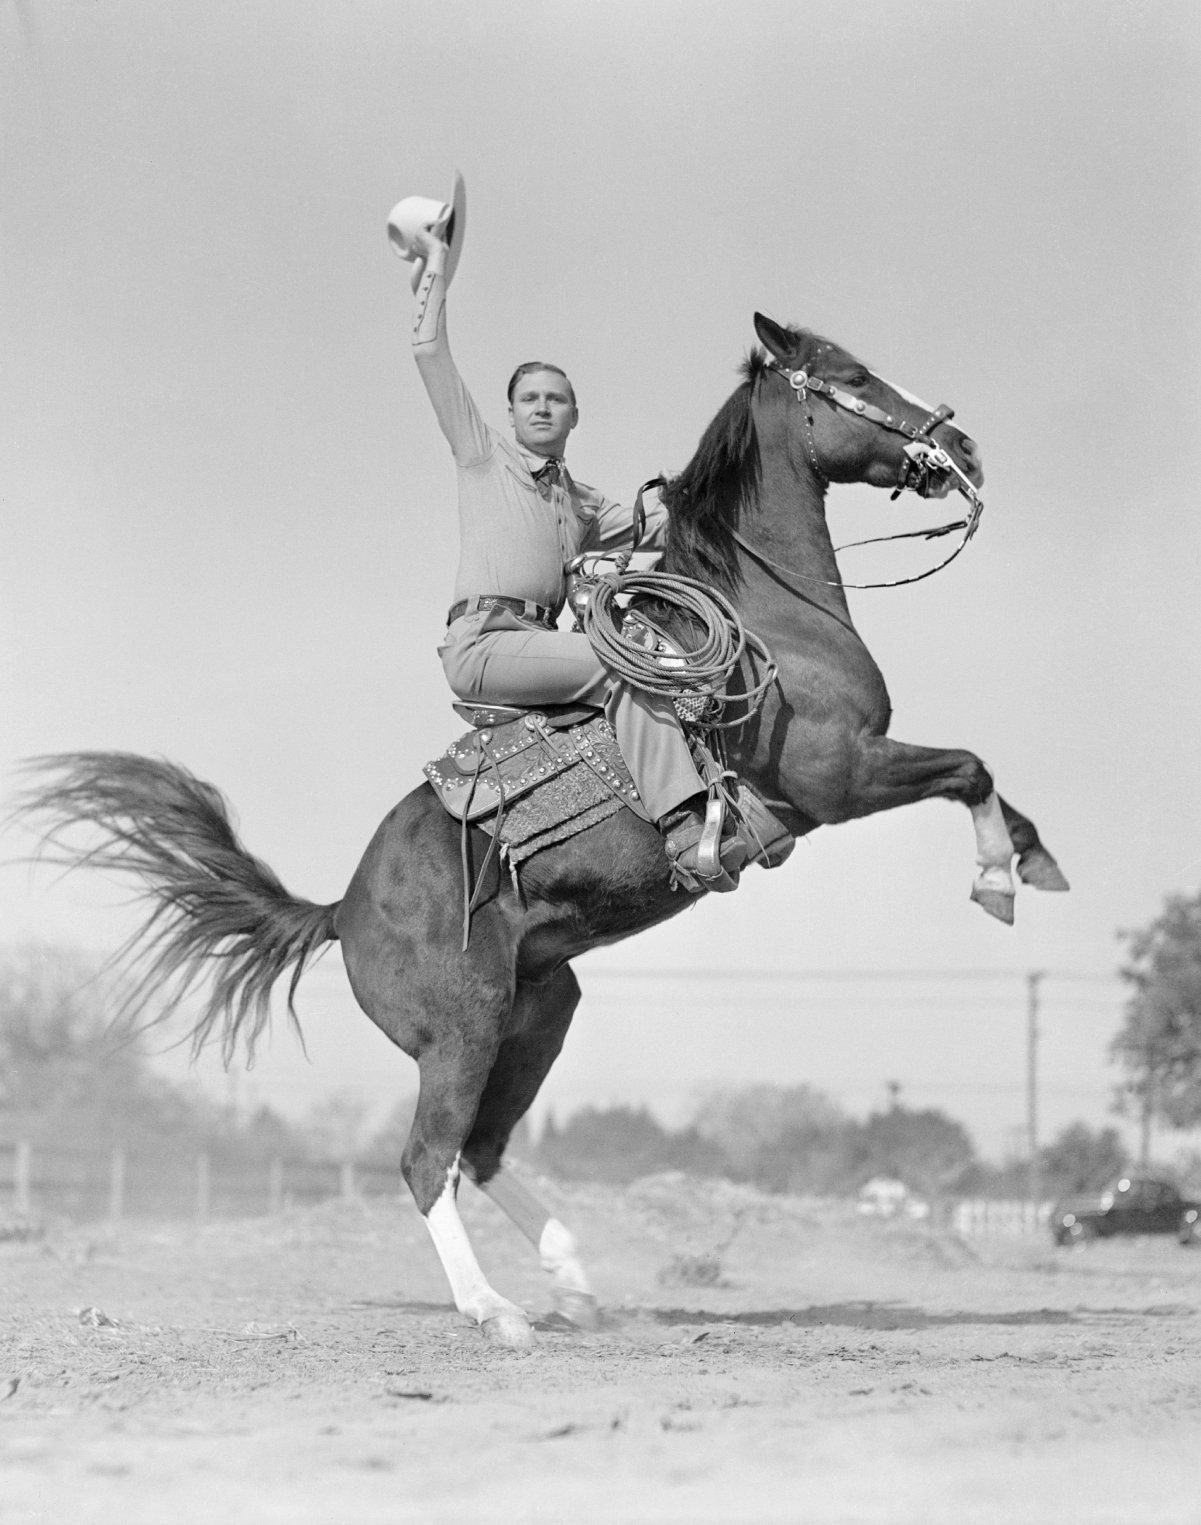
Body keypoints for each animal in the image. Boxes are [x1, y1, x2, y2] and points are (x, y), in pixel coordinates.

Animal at [16, 309, 1066, 1348]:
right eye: (850, 374)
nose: (963, 447)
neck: (772, 618)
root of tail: (340, 909)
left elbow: (986, 779)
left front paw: (1036, 864)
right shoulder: (838, 772)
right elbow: (970, 768)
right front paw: (995, 879)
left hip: (539, 1012)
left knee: (480, 1150)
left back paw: (574, 1280)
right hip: (464, 1030)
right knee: (428, 1156)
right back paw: (496, 1309)